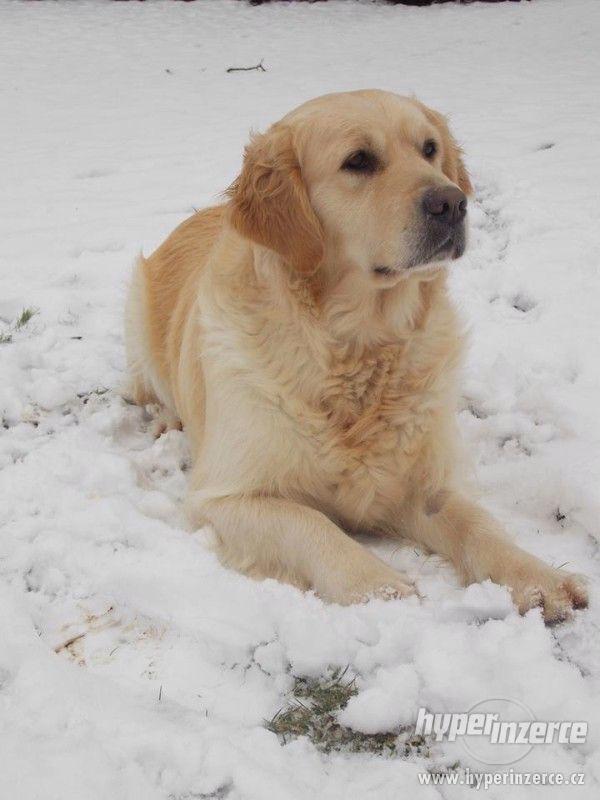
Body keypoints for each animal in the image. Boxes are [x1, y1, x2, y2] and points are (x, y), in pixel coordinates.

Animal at [124, 89, 588, 624]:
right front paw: (378, 589)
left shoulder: (424, 484)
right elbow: (310, 524)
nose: (453, 202)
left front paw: (537, 576)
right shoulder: (224, 495)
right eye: (359, 161)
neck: (360, 345)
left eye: (429, 149)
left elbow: (476, 523)